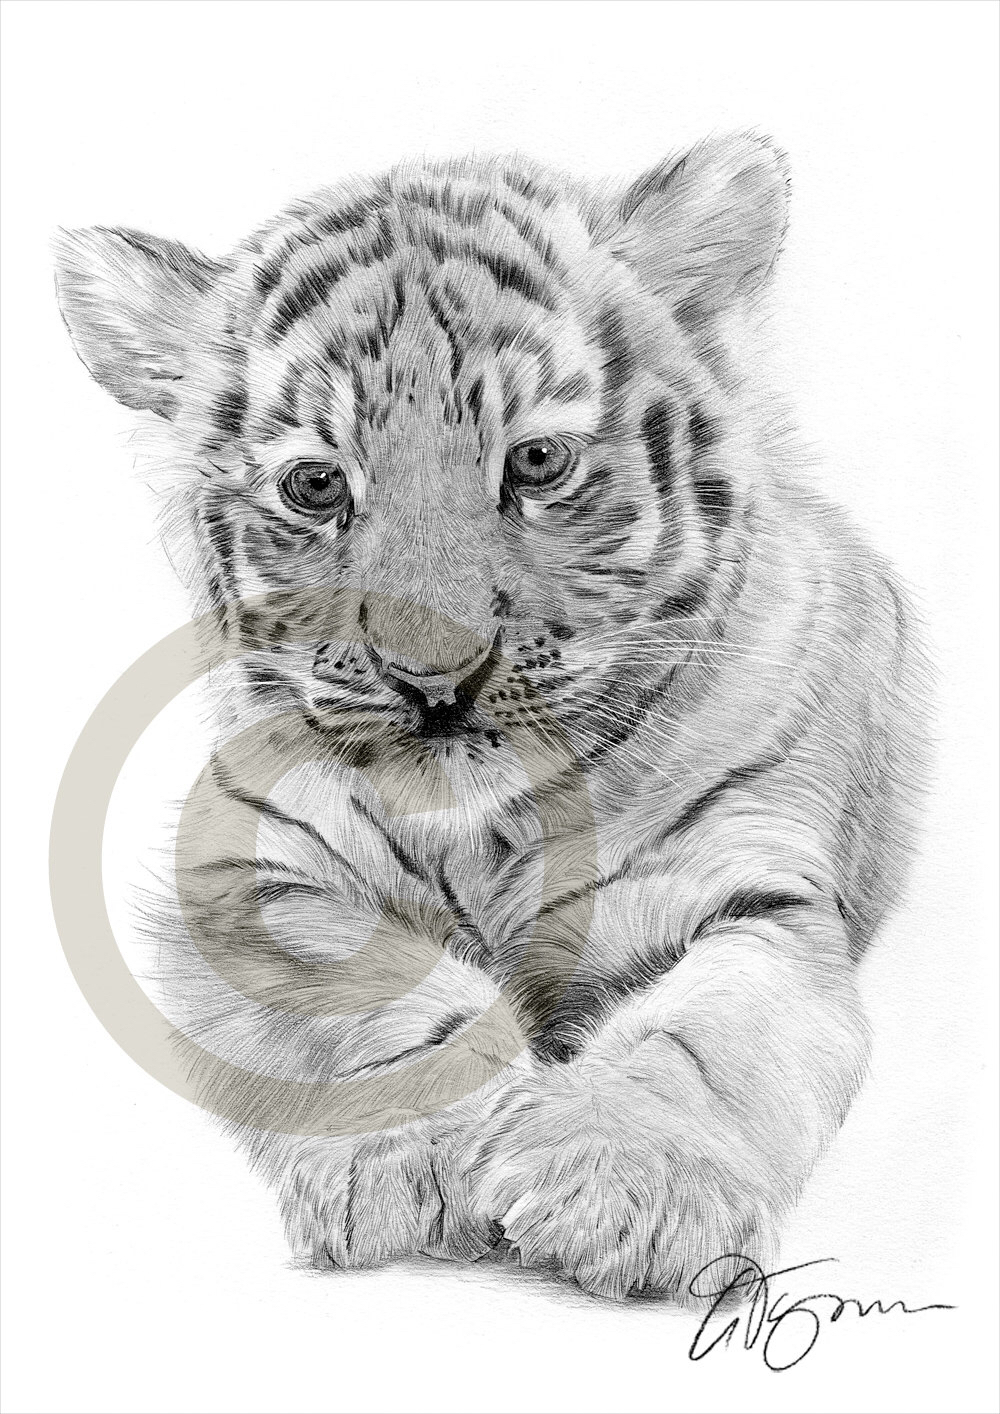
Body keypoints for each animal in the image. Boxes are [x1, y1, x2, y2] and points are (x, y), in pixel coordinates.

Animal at [53, 133, 927, 1302]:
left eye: (538, 462)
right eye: (316, 485)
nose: (436, 681)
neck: (486, 828)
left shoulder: (757, 891)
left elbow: (704, 1035)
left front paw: (623, 1188)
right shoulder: (241, 879)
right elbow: (366, 984)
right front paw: (417, 1160)